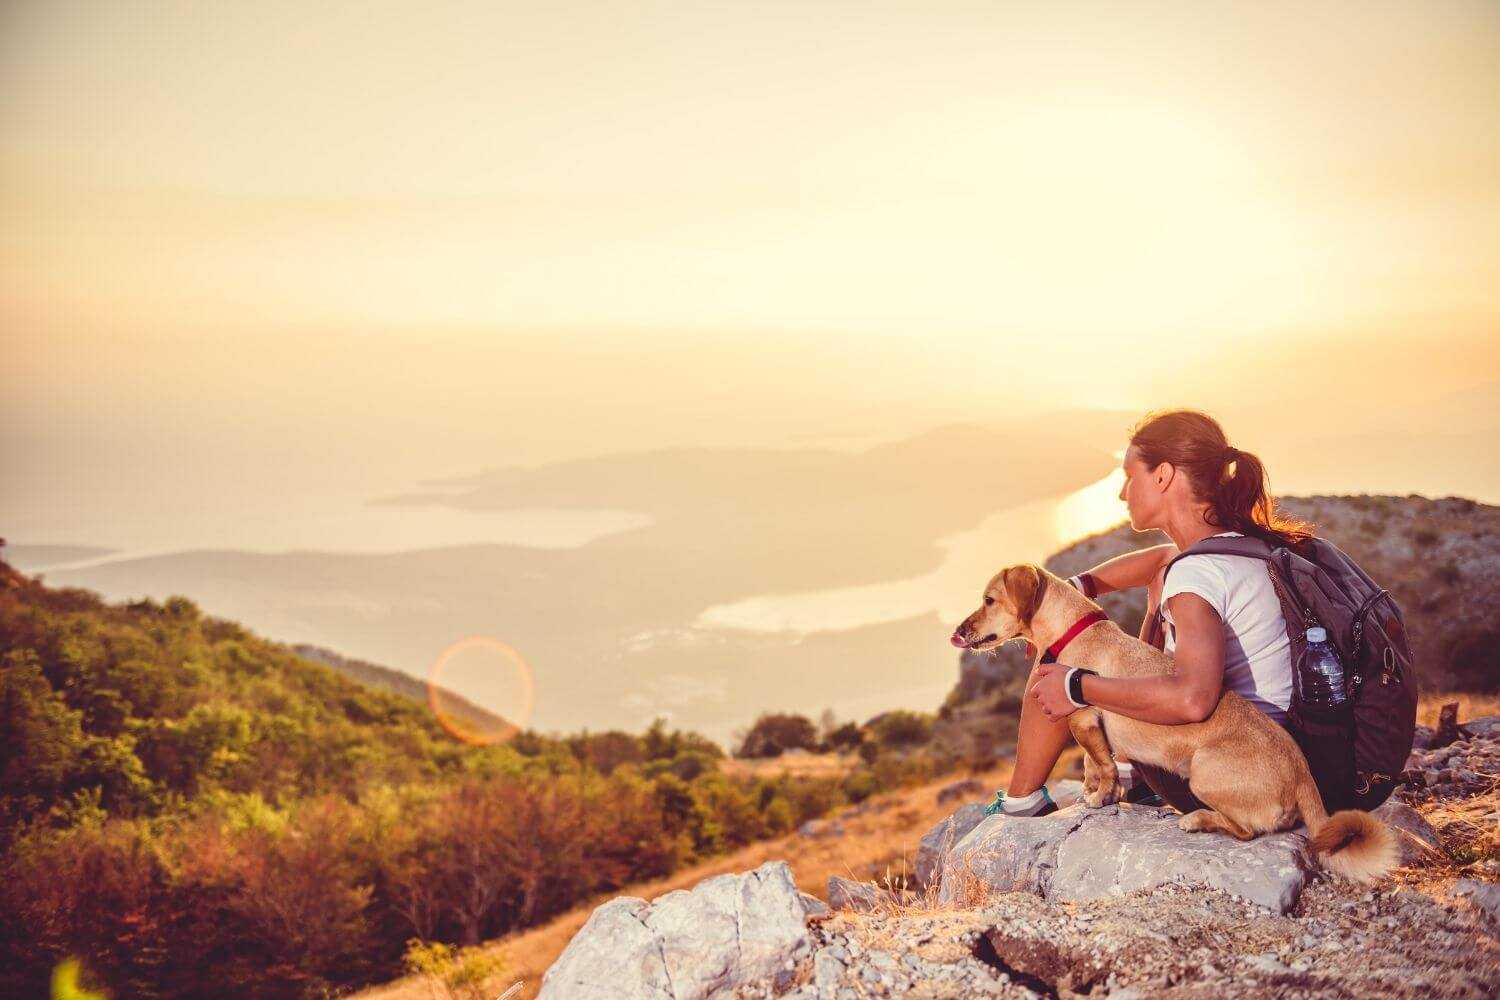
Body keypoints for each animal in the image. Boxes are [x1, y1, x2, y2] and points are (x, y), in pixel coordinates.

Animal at [954, 563, 1398, 881]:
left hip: (1203, 772)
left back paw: (1197, 820)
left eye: (989, 600)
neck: (1074, 630)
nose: (956, 633)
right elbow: (1092, 765)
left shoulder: (1080, 716)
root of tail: (1303, 774)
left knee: (1246, 831)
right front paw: (1095, 792)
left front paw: (1101, 796)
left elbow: (1101, 764)